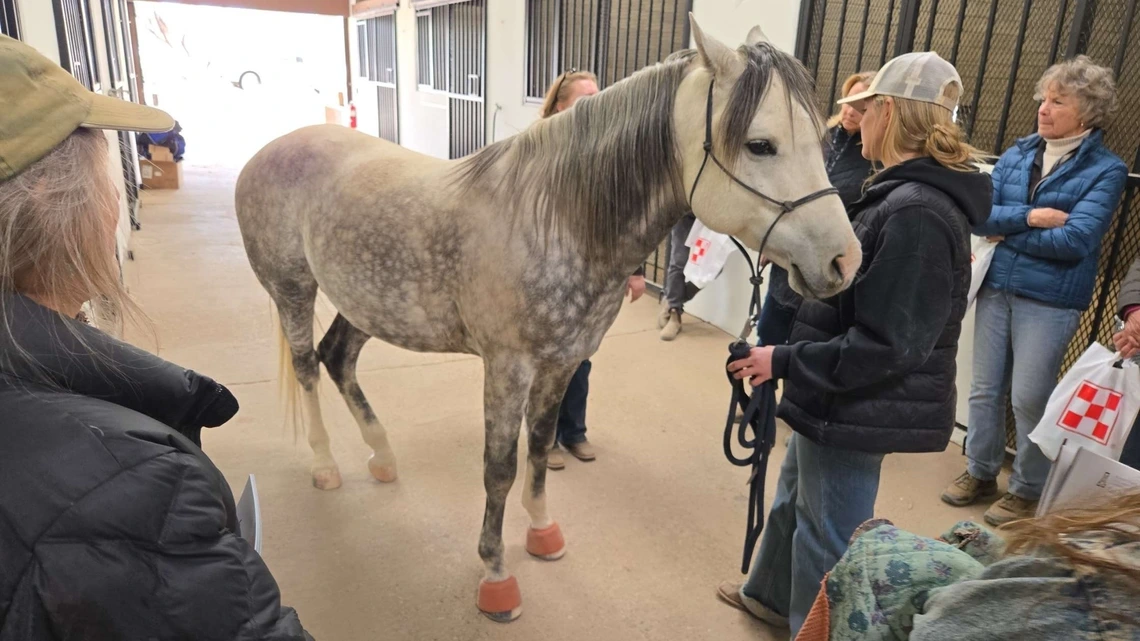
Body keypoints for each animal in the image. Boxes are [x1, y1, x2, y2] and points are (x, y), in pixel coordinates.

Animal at [234, 16, 861, 622]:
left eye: (819, 138)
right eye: (760, 144)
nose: (845, 260)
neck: (556, 216)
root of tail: (269, 151)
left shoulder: (561, 363)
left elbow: (538, 446)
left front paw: (541, 532)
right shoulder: (507, 368)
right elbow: (499, 468)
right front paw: (495, 576)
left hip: (364, 301)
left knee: (338, 358)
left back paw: (383, 457)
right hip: (292, 289)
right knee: (308, 366)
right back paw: (325, 465)